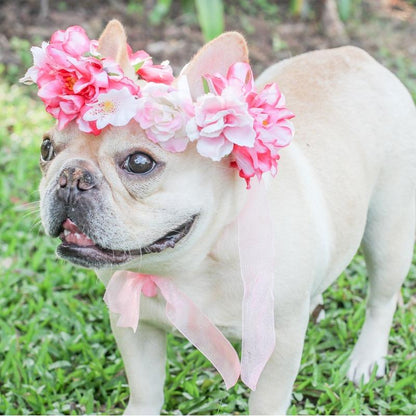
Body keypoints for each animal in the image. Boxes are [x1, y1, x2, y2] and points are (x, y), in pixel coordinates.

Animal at [33, 20, 416, 412]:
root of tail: (357, 55)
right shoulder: (134, 325)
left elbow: (267, 402)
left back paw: (367, 359)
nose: (71, 177)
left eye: (139, 162)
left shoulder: (276, 346)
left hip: (389, 233)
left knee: (382, 298)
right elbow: (146, 388)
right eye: (46, 149)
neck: (190, 264)